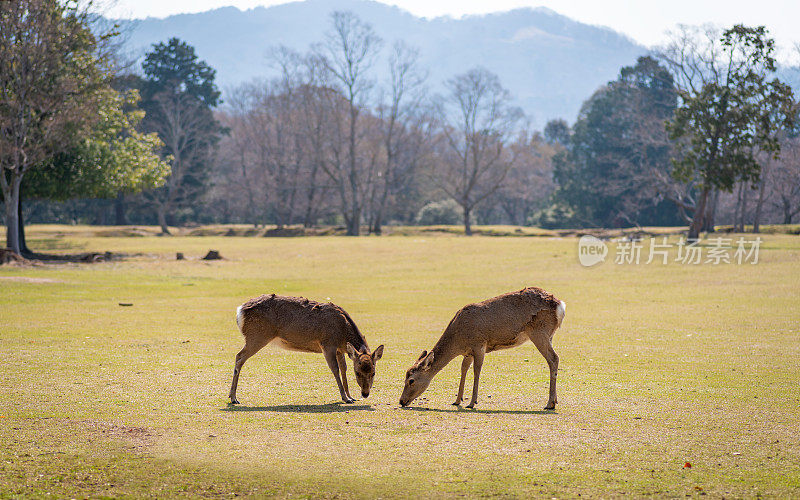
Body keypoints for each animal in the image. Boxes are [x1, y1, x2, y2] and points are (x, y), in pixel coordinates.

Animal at [228, 292, 384, 406]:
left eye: (373, 372)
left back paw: (232, 396)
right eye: (357, 373)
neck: (342, 332)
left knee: (238, 357)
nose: (365, 394)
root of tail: (240, 311)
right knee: (239, 357)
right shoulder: (327, 344)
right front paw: (345, 398)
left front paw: (350, 397)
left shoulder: (340, 350)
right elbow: (335, 369)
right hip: (257, 336)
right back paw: (234, 398)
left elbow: (344, 369)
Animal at [398, 286, 564, 410]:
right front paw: (457, 400)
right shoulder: (468, 352)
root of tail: (560, 305)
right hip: (549, 335)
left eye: (411, 380)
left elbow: (476, 370)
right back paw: (555, 400)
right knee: (554, 359)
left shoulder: (479, 344)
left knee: (554, 358)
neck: (458, 340)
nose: (401, 401)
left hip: (539, 332)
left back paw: (549, 403)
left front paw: (472, 402)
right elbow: (463, 369)